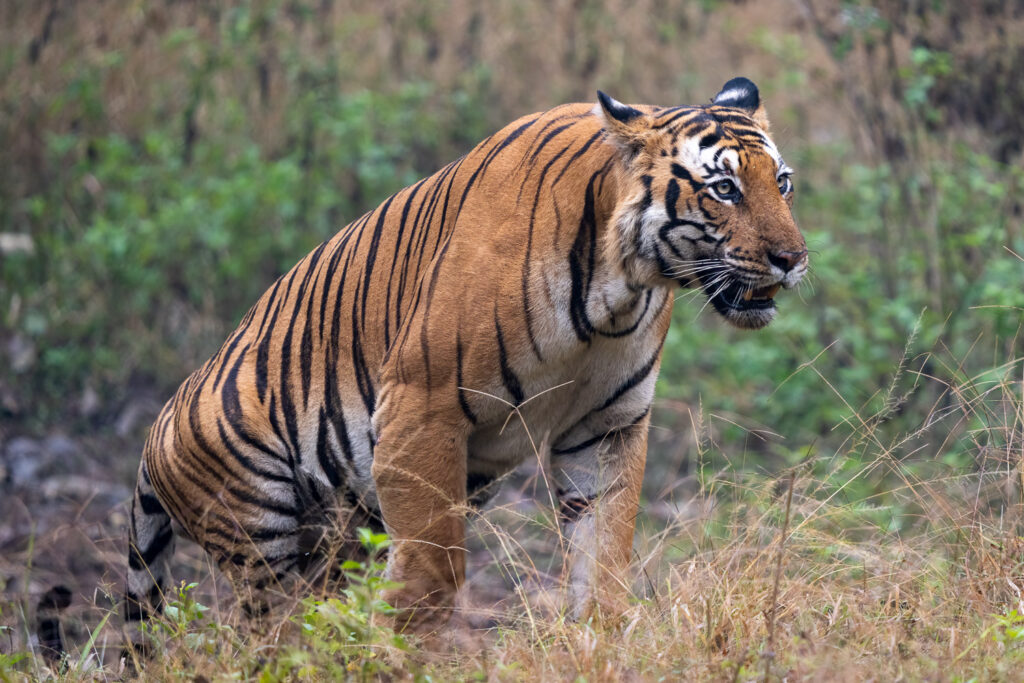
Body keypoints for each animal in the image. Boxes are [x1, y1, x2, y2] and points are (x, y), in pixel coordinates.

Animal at [125, 77, 807, 634]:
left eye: (782, 184)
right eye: (724, 189)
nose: (793, 258)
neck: (619, 290)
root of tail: (155, 429)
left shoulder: (606, 427)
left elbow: (603, 562)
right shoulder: (420, 410)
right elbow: (432, 573)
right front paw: (395, 652)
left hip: (339, 530)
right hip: (259, 528)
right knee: (269, 636)